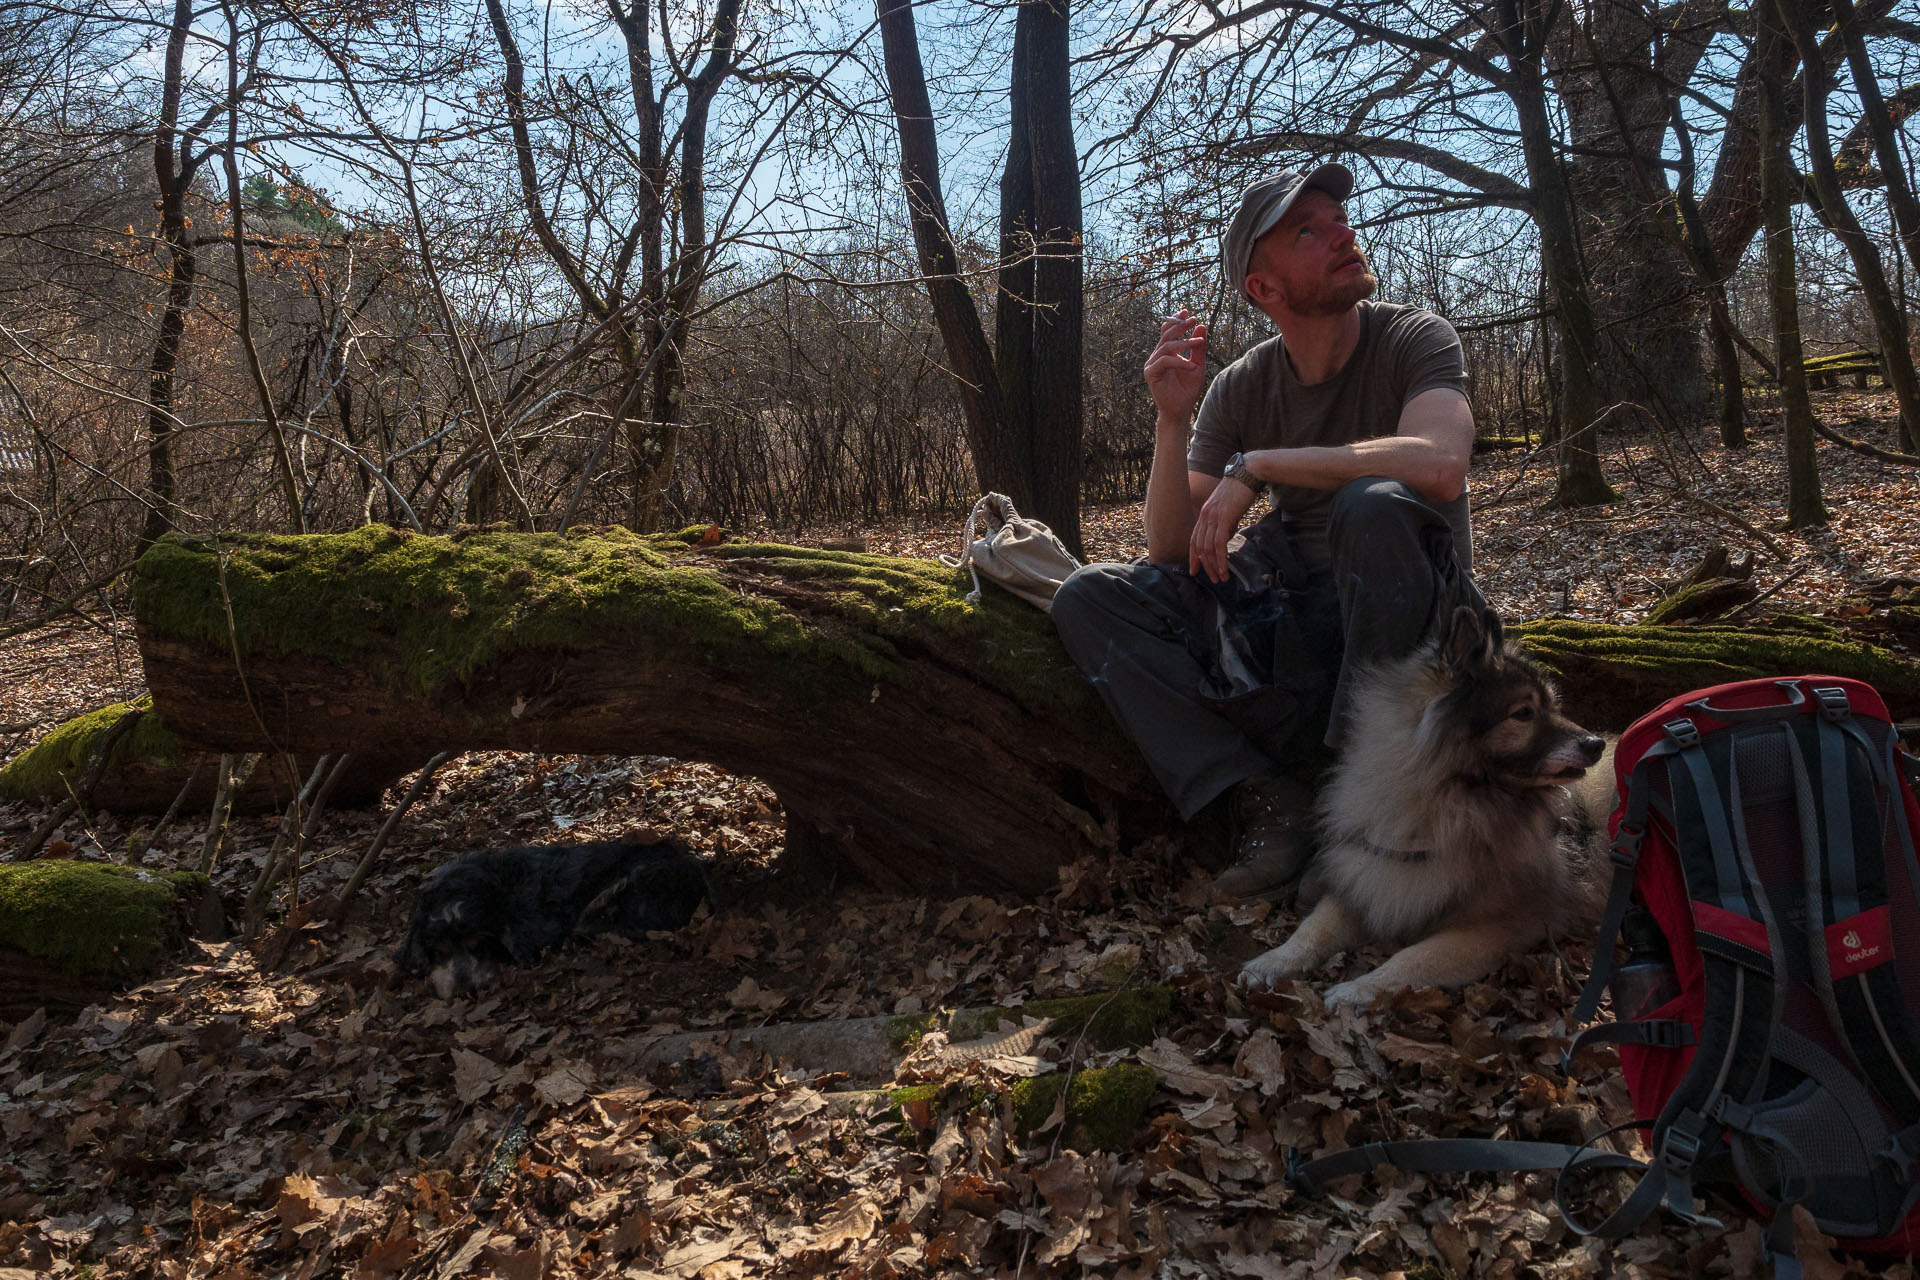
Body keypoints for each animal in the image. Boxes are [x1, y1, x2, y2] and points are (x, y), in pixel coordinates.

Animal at [1236, 606, 1612, 1005]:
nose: (1596, 744)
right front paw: (1272, 962)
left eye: (1551, 707)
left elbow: (1415, 957)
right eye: (1524, 713)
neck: (1451, 808)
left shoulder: (1502, 925)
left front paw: (1358, 990)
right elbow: (1313, 928)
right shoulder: (1369, 879)